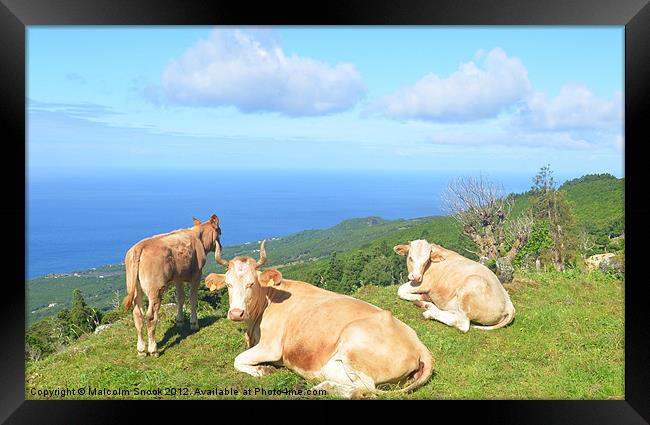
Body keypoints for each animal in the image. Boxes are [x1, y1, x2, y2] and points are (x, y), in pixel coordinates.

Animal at [123, 212, 221, 354]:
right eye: (220, 231)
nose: (221, 246)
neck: (198, 237)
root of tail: (140, 246)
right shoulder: (197, 274)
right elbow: (193, 299)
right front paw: (194, 324)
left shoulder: (177, 278)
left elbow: (180, 298)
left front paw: (180, 321)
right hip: (155, 289)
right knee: (151, 316)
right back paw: (153, 349)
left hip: (135, 287)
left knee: (137, 314)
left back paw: (141, 349)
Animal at [205, 242, 432, 398]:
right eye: (228, 284)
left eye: (252, 283)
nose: (236, 313)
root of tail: (418, 343)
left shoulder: (271, 347)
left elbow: (238, 359)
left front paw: (262, 370)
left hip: (354, 343)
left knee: (365, 387)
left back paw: (323, 388)